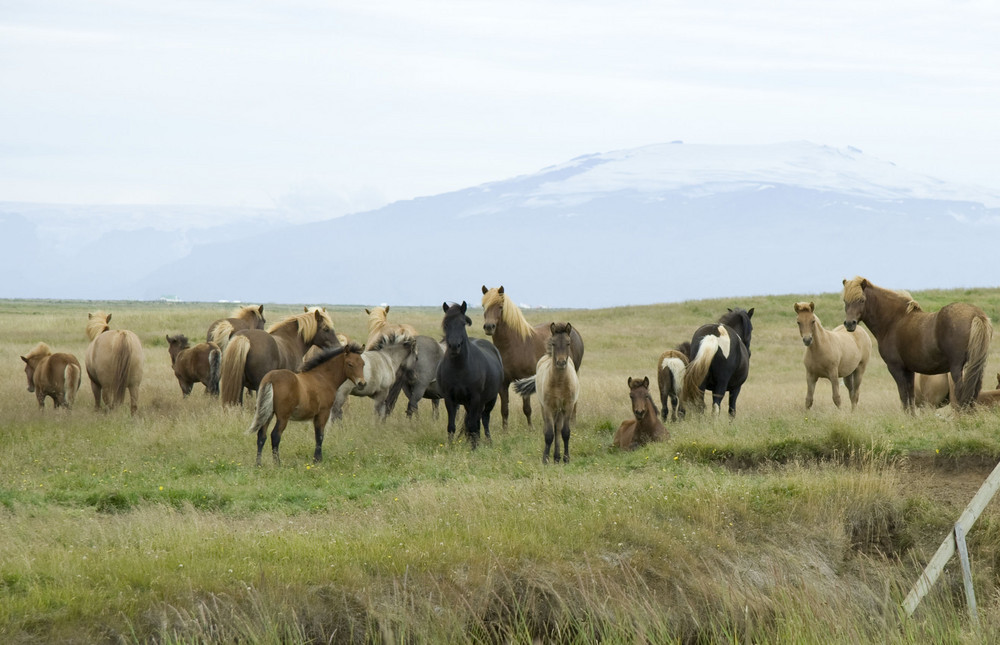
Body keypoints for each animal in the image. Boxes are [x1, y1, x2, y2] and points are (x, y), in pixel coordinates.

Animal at [438, 302, 504, 448]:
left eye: (463, 323)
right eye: (446, 323)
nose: (454, 346)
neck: (459, 369)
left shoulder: (475, 398)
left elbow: (474, 424)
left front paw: (474, 448)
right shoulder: (449, 399)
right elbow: (451, 426)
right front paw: (450, 447)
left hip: (490, 400)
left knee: (484, 419)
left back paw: (488, 441)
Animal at [480, 286, 584, 428]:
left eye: (500, 306)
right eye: (483, 306)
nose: (489, 327)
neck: (514, 345)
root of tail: (574, 332)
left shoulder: (524, 379)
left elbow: (527, 408)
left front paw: (530, 428)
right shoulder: (503, 384)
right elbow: (504, 410)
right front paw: (505, 430)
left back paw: (572, 422)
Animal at [516, 322, 580, 462]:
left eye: (568, 343)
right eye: (554, 343)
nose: (561, 362)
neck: (560, 383)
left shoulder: (568, 407)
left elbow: (565, 432)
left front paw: (566, 459)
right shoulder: (548, 407)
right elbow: (549, 433)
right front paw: (545, 459)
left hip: (559, 410)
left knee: (558, 429)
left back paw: (557, 457)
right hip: (546, 408)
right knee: (550, 428)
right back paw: (554, 456)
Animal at [844, 276, 992, 412]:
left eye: (862, 300)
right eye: (845, 301)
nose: (849, 324)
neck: (894, 321)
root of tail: (976, 314)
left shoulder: (896, 368)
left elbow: (904, 396)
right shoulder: (909, 370)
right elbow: (910, 396)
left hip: (957, 367)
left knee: (962, 393)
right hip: (977, 365)